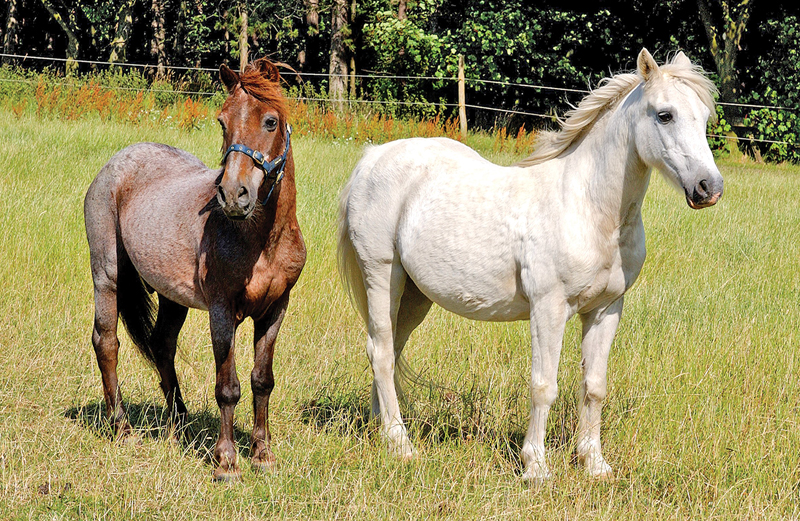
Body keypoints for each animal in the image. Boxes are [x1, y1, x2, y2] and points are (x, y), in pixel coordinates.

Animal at [84, 58, 306, 481]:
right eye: (222, 121)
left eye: (270, 121)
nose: (233, 195)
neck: (261, 240)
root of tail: (115, 163)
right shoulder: (222, 311)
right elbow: (228, 387)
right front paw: (226, 461)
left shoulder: (276, 310)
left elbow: (262, 381)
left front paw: (263, 455)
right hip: (107, 276)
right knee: (107, 342)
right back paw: (121, 426)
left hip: (172, 296)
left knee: (161, 344)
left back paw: (179, 421)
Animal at [337, 49, 723, 481]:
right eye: (664, 115)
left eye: (704, 118)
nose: (709, 188)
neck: (588, 208)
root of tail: (372, 157)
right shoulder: (548, 309)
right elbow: (543, 386)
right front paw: (535, 466)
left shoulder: (606, 310)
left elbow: (594, 386)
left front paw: (594, 464)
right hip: (382, 276)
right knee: (381, 352)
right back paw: (401, 444)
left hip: (414, 296)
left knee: (387, 351)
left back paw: (381, 430)